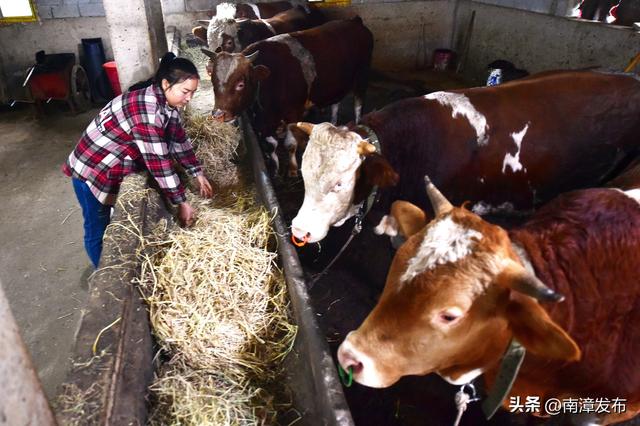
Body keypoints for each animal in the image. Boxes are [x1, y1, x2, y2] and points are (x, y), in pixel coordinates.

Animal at [201, 17, 376, 177]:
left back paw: (358, 125)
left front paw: (292, 169)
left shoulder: (294, 113)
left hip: (362, 75)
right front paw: (275, 169)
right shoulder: (264, 120)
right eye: (213, 81)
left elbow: (290, 144)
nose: (218, 114)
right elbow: (270, 145)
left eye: (240, 84)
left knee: (358, 104)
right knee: (335, 103)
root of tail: (354, 21)